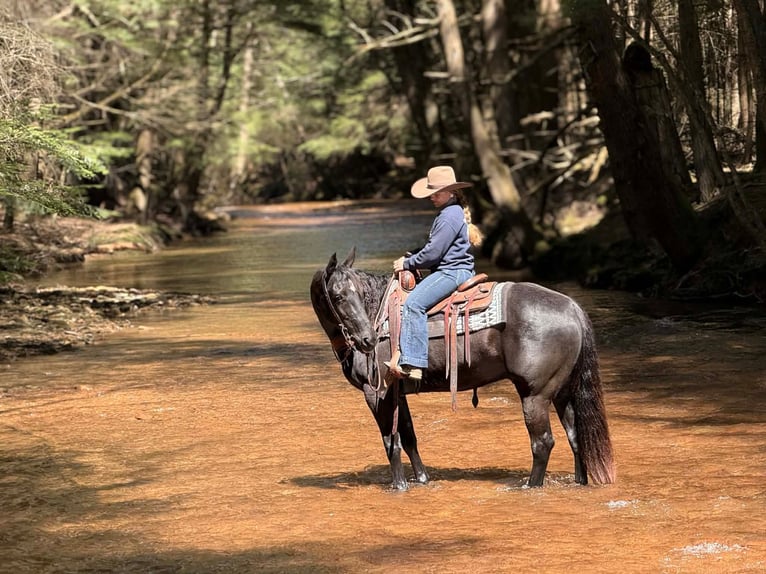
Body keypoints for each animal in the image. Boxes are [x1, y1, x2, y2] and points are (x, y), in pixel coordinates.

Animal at [310, 247, 615, 490]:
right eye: (338, 296)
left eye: (358, 293)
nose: (368, 341)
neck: (378, 313)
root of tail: (573, 308)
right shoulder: (397, 393)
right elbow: (409, 437)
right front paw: (422, 480)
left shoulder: (377, 393)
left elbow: (391, 442)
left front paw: (399, 486)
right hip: (562, 392)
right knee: (575, 437)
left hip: (535, 395)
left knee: (542, 443)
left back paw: (530, 486)